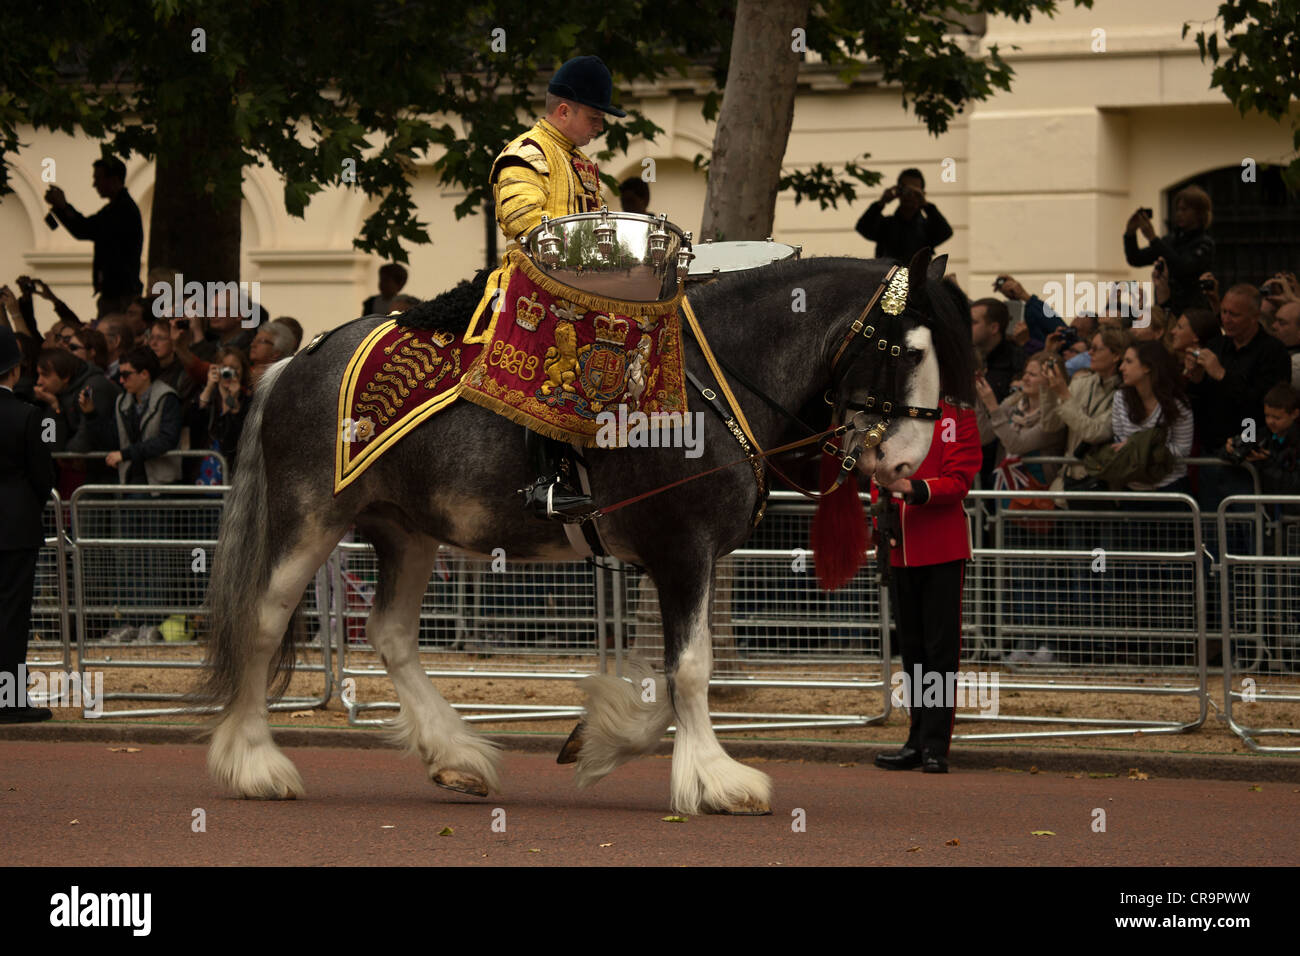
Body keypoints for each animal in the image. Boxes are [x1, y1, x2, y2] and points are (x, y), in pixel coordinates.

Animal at [197, 247, 975, 815]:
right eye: (910, 351)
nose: (907, 465)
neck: (712, 383)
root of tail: (297, 360)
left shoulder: (676, 561)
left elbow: (668, 672)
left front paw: (602, 737)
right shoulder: (683, 550)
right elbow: (690, 669)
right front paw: (716, 779)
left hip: (408, 531)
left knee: (390, 635)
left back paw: (457, 757)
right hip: (310, 520)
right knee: (261, 622)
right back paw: (256, 763)